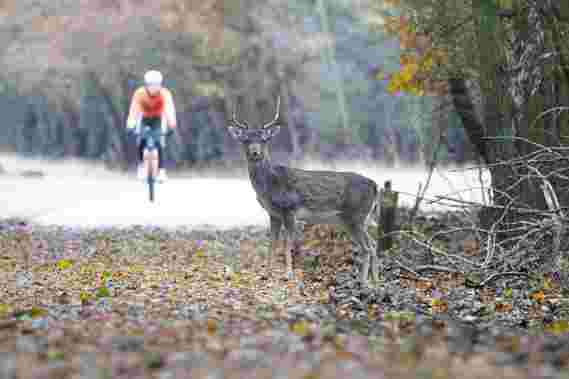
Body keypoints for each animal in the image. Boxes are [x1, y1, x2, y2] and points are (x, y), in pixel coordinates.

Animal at [226, 96, 382, 286]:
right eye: (246, 140)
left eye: (264, 140)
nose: (255, 153)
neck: (270, 185)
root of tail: (375, 186)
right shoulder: (274, 213)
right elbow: (272, 243)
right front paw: (267, 274)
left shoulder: (289, 209)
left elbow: (287, 243)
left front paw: (288, 275)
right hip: (360, 218)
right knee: (373, 244)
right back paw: (375, 280)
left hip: (355, 216)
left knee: (367, 247)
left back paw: (363, 282)